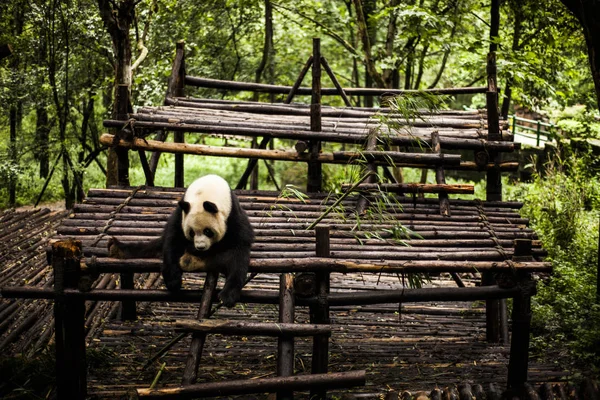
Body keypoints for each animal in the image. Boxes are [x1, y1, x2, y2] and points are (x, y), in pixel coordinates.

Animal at [109, 173, 254, 308]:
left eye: (208, 231)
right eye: (192, 232)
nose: (200, 247)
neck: (206, 190)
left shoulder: (232, 216)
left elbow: (238, 252)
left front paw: (227, 296)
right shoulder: (181, 214)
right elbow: (173, 240)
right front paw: (173, 280)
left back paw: (191, 260)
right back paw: (116, 248)